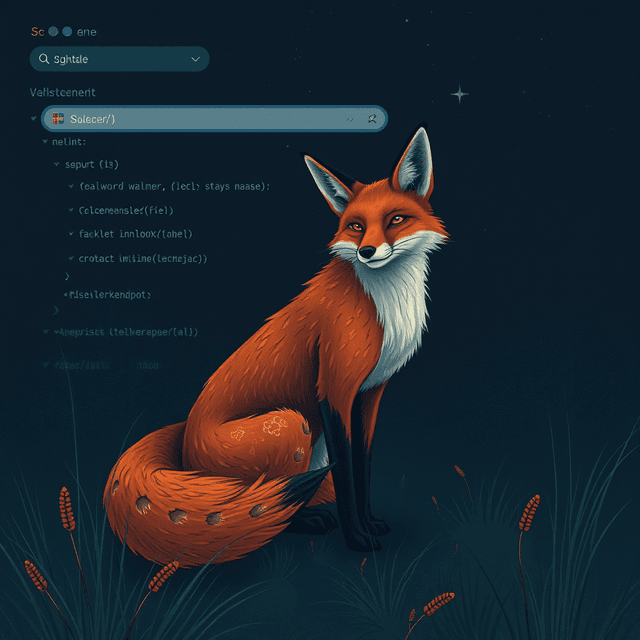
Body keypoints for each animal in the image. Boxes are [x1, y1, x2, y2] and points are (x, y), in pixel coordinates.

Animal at [103, 126, 448, 567]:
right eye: (356, 226)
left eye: (396, 220)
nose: (367, 252)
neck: (384, 303)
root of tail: (183, 443)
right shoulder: (334, 390)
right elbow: (346, 475)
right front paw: (357, 538)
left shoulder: (369, 394)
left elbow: (363, 467)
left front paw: (370, 523)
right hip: (289, 423)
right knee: (260, 504)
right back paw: (305, 520)